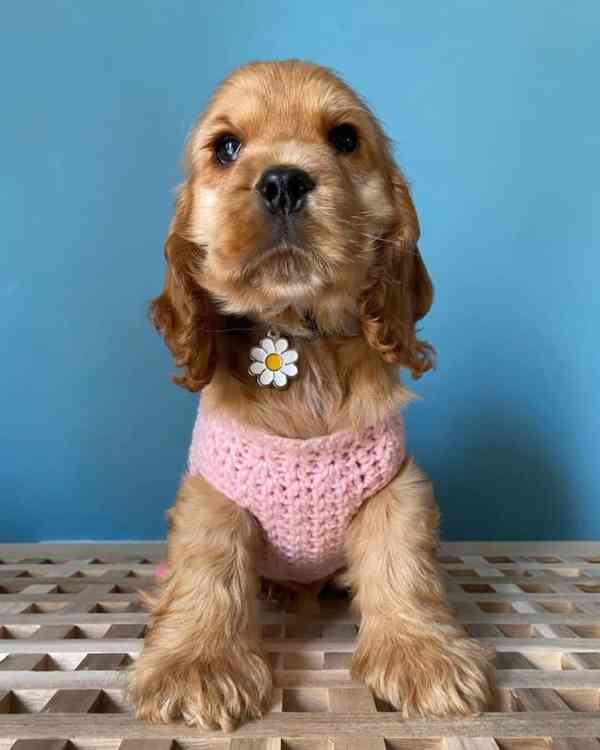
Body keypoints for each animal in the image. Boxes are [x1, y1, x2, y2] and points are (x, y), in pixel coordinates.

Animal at [129, 59, 494, 731]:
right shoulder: (212, 494)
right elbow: (207, 566)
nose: (282, 181)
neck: (299, 340)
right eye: (226, 148)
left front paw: (424, 654)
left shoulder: (395, 487)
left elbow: (403, 565)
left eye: (345, 138)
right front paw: (198, 665)